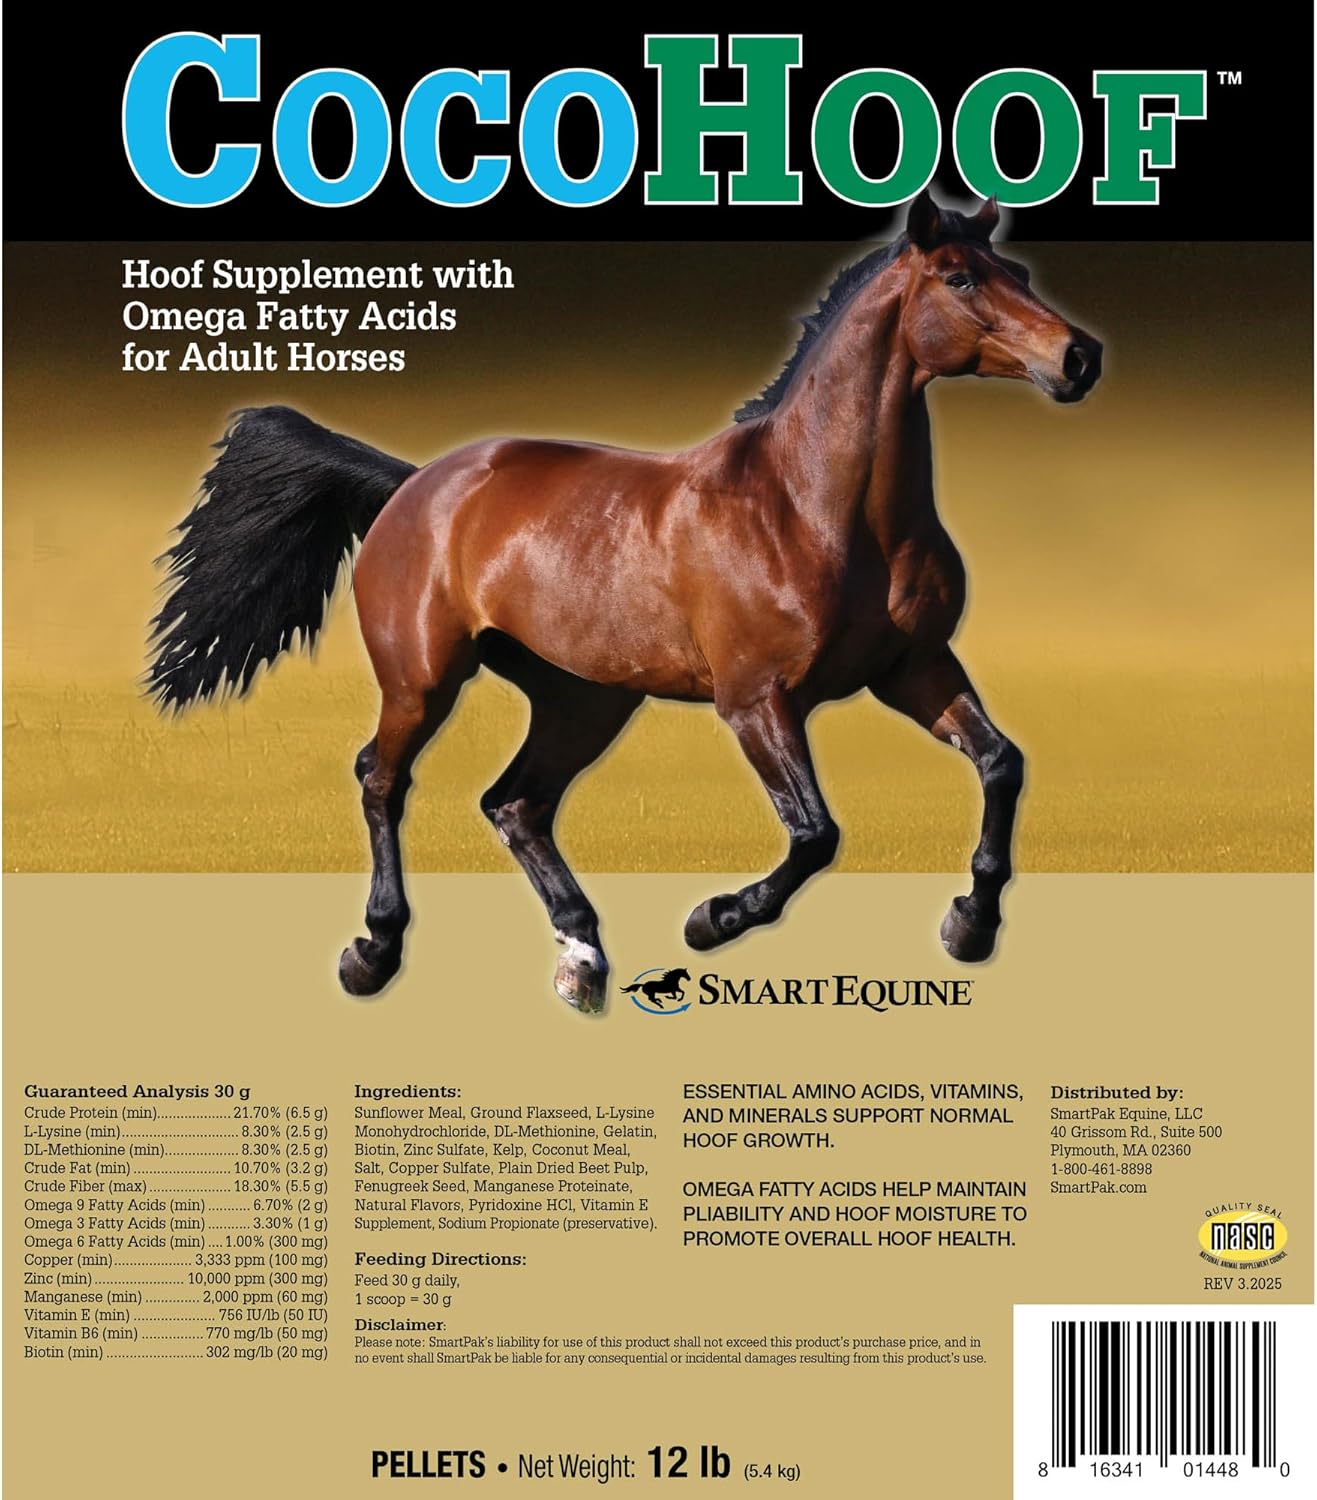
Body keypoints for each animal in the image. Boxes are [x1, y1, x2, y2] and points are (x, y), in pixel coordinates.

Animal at [148, 190, 1101, 1014]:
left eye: (1017, 271)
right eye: (960, 277)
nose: (1077, 358)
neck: (813, 508)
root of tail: (416, 483)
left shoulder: (914, 669)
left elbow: (1001, 763)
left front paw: (969, 925)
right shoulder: (756, 700)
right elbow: (814, 833)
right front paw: (711, 920)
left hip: (584, 699)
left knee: (515, 804)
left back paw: (582, 958)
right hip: (422, 680)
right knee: (382, 778)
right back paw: (373, 954)